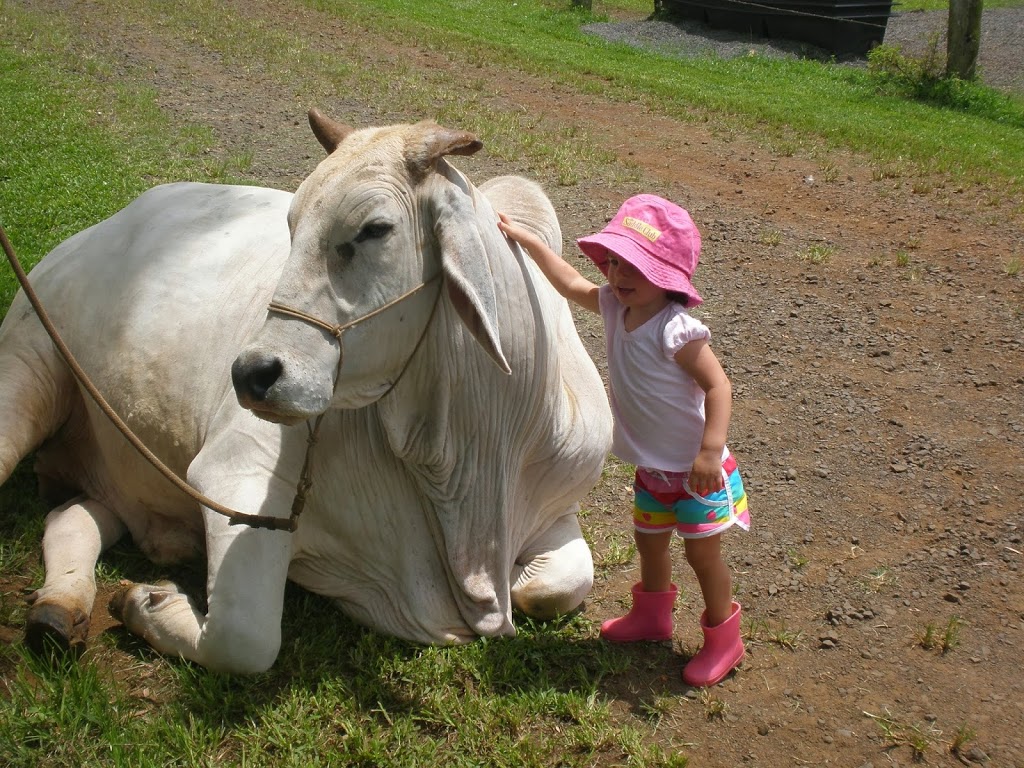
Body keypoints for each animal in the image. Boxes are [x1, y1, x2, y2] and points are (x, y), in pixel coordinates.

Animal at [0, 109, 606, 671]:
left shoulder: (557, 508)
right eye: (290, 225)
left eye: (374, 229)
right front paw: (144, 602)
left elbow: (555, 588)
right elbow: (244, 637)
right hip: (30, 356)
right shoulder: (235, 474)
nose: (251, 374)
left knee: (73, 515)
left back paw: (58, 608)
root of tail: (117, 218)